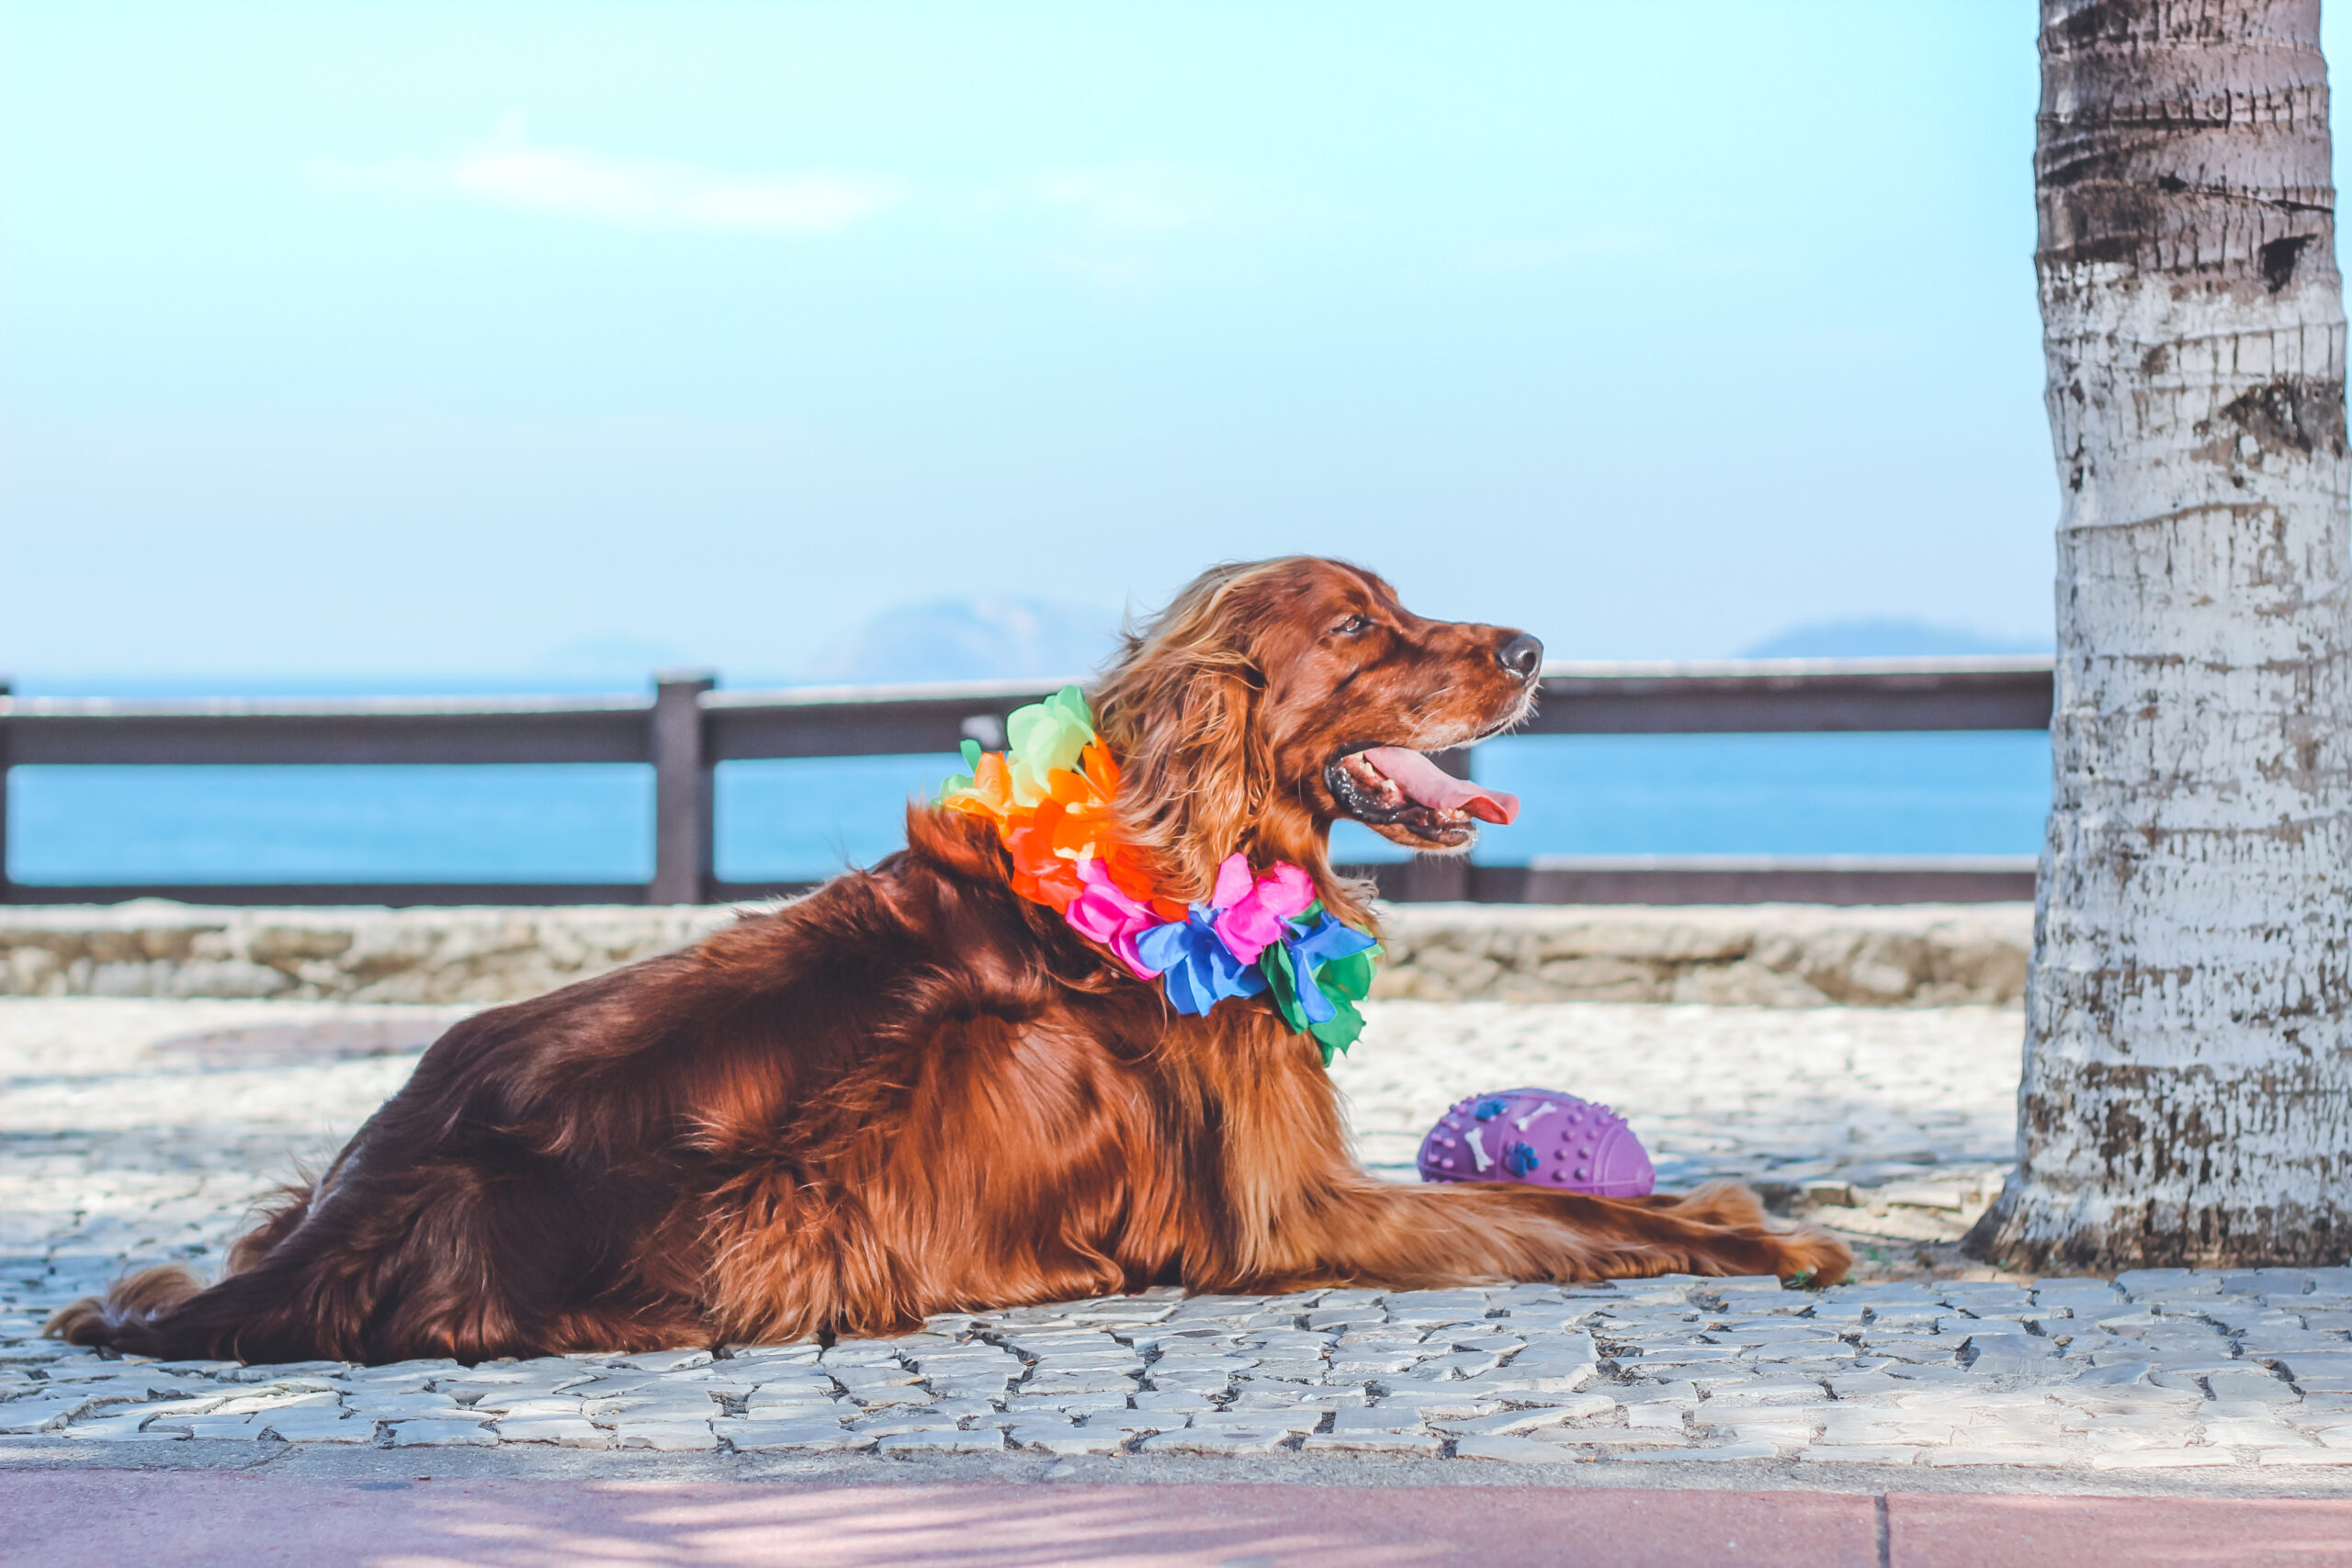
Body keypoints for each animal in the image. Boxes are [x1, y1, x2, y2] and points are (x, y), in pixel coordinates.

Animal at [55, 561, 1844, 1363]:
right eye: (1358, 629)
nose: (1535, 649)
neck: (1178, 856)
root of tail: (372, 1196)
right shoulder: (1295, 1214)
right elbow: (1571, 1215)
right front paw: (1759, 1234)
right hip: (830, 1171)